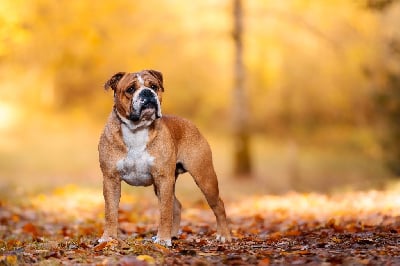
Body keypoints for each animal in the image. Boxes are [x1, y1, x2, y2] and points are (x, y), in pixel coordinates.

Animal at [97, 69, 233, 246]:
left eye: (154, 86)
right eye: (130, 89)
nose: (147, 93)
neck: (137, 131)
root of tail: (191, 124)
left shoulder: (164, 179)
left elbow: (165, 212)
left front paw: (162, 239)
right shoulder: (111, 179)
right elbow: (110, 211)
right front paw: (109, 238)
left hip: (204, 177)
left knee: (218, 205)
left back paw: (223, 235)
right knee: (177, 206)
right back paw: (173, 234)